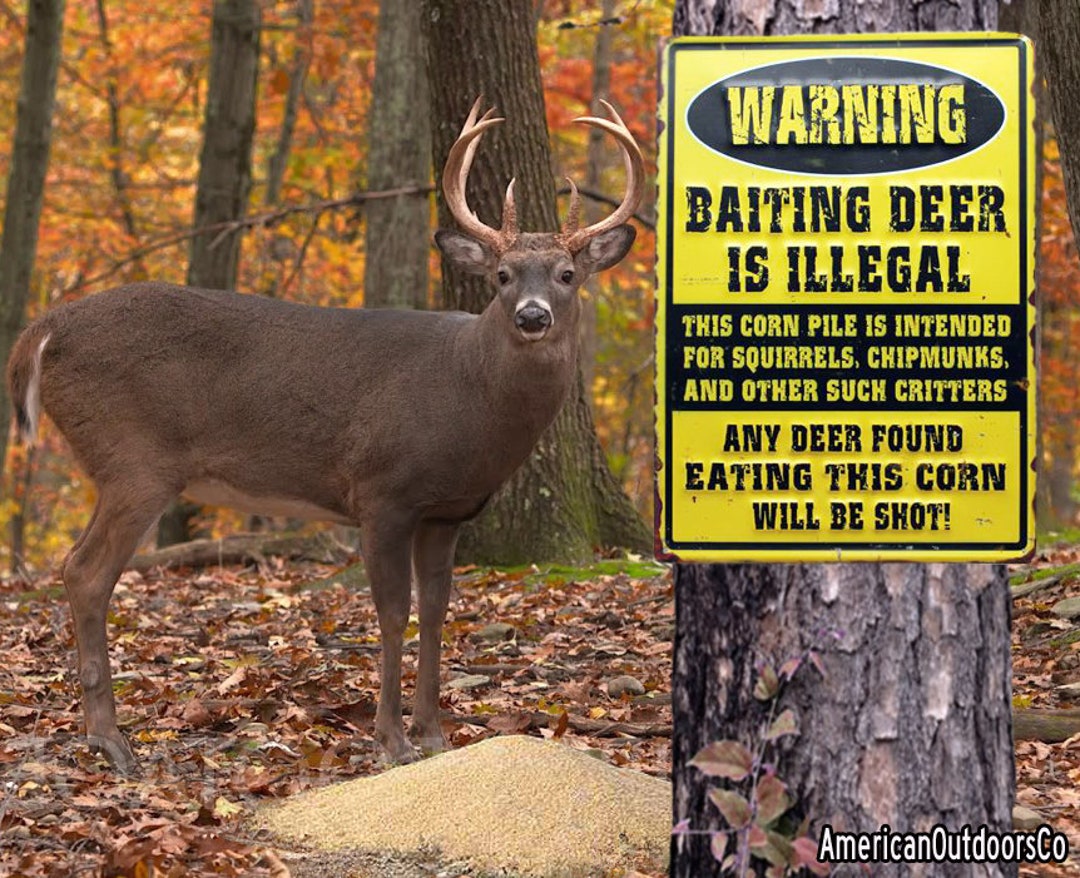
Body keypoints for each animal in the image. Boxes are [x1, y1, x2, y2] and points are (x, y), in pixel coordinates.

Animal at [5, 98, 643, 772]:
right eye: (501, 274)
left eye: (568, 274)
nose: (532, 316)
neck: (469, 392)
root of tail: (42, 330)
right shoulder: (382, 492)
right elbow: (392, 612)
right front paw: (391, 739)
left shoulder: (446, 512)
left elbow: (438, 612)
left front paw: (434, 734)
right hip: (134, 459)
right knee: (84, 570)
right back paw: (109, 738)